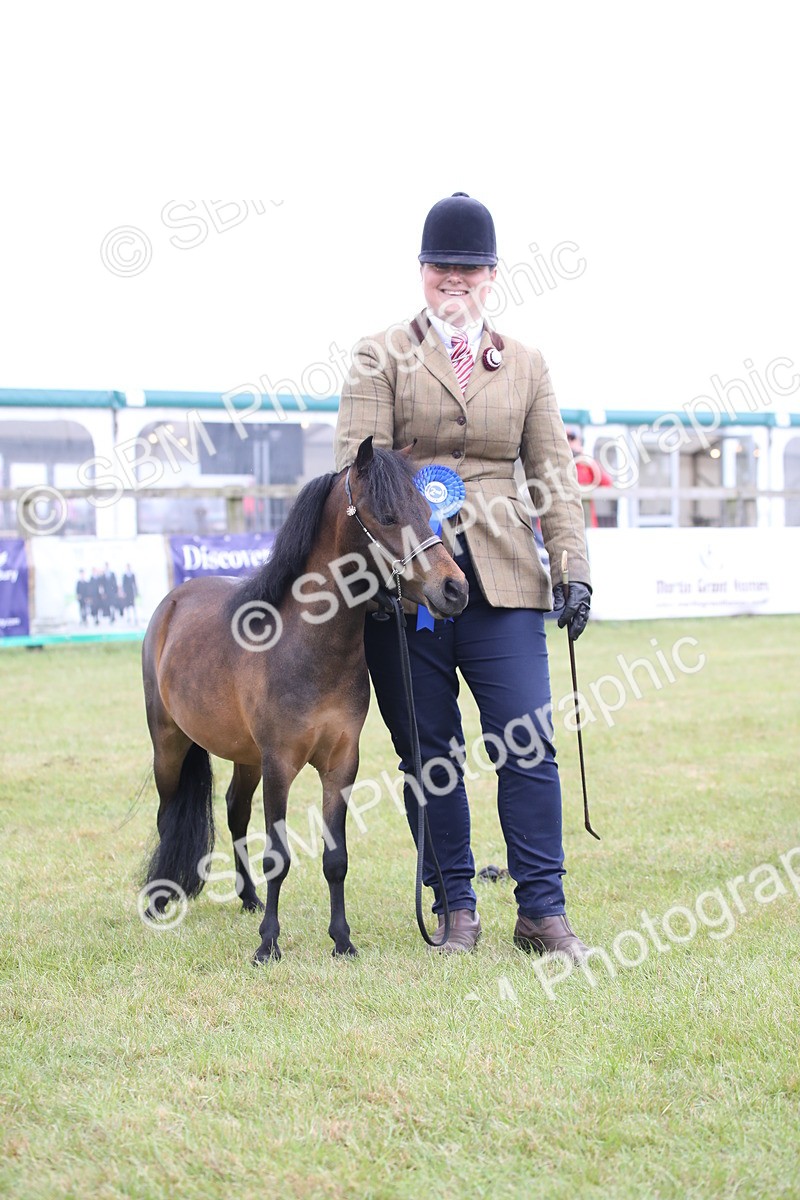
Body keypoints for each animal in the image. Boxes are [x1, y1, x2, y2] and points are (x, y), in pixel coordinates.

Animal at [141, 436, 469, 963]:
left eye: (426, 509)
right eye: (387, 515)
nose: (454, 589)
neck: (307, 645)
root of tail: (173, 602)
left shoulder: (340, 764)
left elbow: (336, 858)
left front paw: (342, 940)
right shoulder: (280, 763)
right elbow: (278, 855)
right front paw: (268, 945)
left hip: (244, 757)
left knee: (234, 810)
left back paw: (249, 899)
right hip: (168, 745)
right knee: (166, 814)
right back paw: (159, 900)